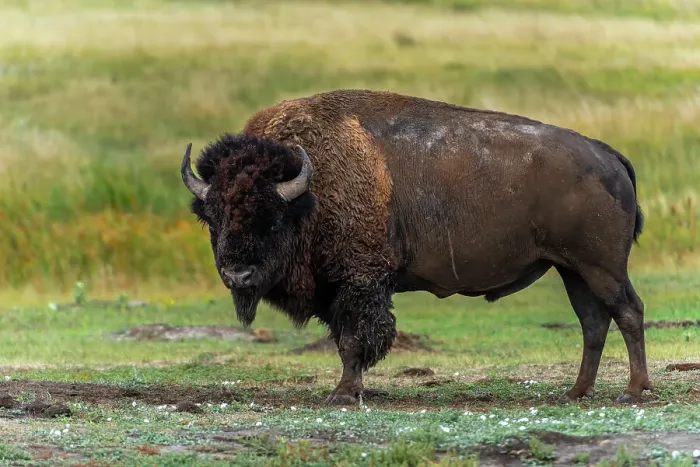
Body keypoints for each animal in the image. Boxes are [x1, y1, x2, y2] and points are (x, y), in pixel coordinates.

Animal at [181, 89, 650, 405]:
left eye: (273, 217)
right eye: (213, 216)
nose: (238, 274)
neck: (309, 190)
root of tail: (606, 154)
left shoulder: (360, 282)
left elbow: (354, 340)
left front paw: (343, 394)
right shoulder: (339, 290)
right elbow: (344, 338)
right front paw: (349, 390)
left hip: (602, 268)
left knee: (627, 312)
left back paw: (633, 390)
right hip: (572, 270)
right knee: (593, 322)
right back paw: (576, 392)